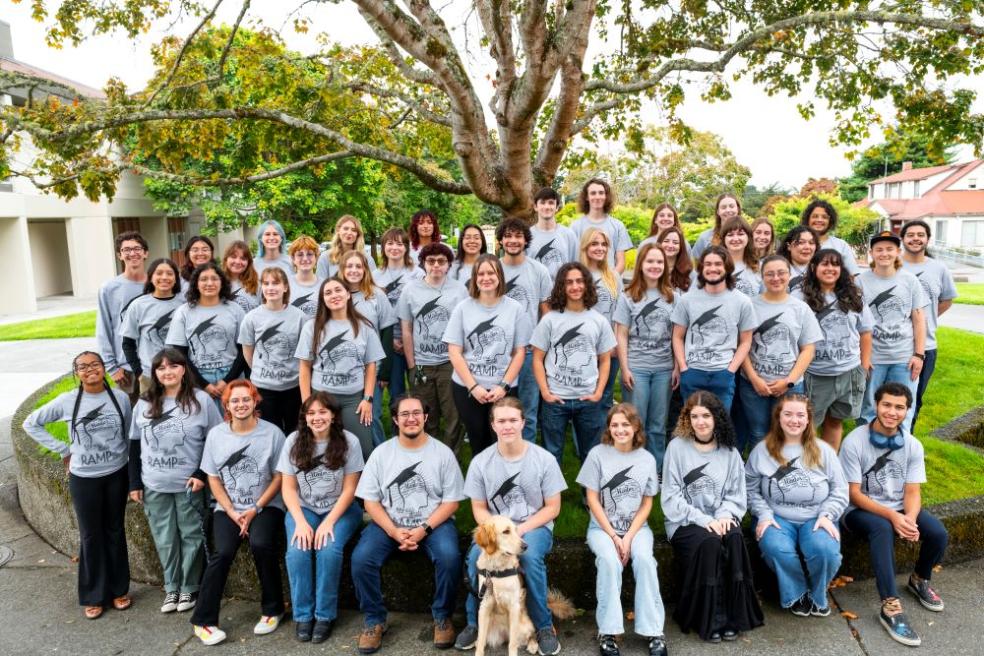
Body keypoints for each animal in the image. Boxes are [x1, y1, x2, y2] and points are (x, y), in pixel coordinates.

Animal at [470, 516, 572, 656]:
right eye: (506, 531)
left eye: (516, 530)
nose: (526, 546)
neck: (497, 568)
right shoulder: (485, 605)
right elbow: (481, 639)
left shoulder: (514, 606)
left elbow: (512, 644)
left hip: (524, 624)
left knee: (531, 634)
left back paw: (534, 645)